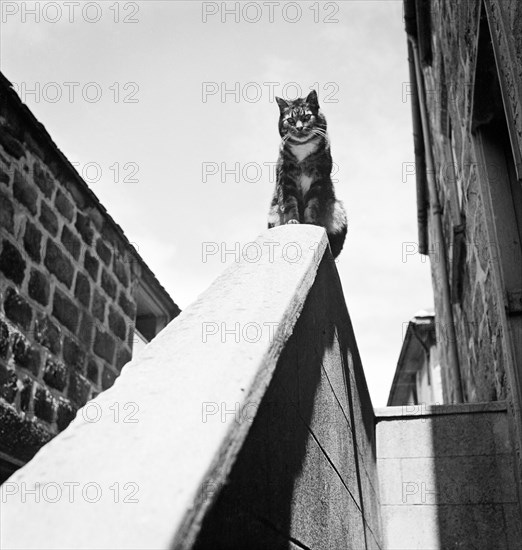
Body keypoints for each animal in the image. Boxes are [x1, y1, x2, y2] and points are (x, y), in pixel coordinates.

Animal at [268, 90, 346, 258]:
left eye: (306, 117)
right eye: (290, 120)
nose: (299, 128)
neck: (302, 148)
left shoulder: (319, 180)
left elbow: (313, 204)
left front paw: (310, 223)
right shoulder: (286, 179)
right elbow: (290, 203)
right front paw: (293, 221)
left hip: (338, 209)